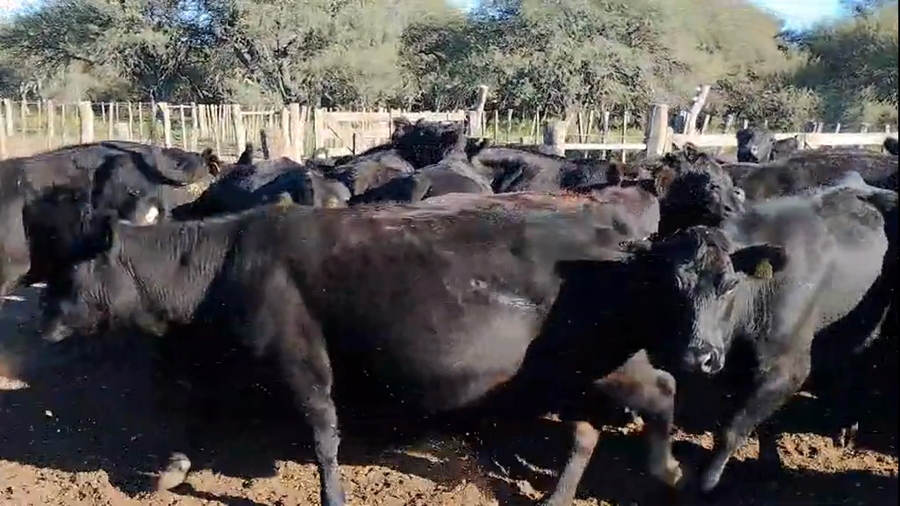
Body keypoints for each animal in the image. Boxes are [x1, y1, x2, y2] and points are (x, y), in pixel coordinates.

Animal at [37, 188, 768, 506]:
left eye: (72, 270)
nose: (44, 319)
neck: (225, 263)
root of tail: (619, 238)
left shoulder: (301, 361)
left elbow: (323, 437)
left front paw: (333, 498)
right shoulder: (230, 361)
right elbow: (197, 416)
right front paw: (170, 470)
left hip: (617, 368)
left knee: (664, 391)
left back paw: (667, 469)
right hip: (580, 378)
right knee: (588, 432)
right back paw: (561, 498)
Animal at [676, 181, 897, 493]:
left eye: (730, 285)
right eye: (678, 284)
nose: (699, 358)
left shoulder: (788, 367)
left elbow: (732, 428)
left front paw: (706, 483)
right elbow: (759, 422)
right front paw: (769, 463)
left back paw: (846, 427)